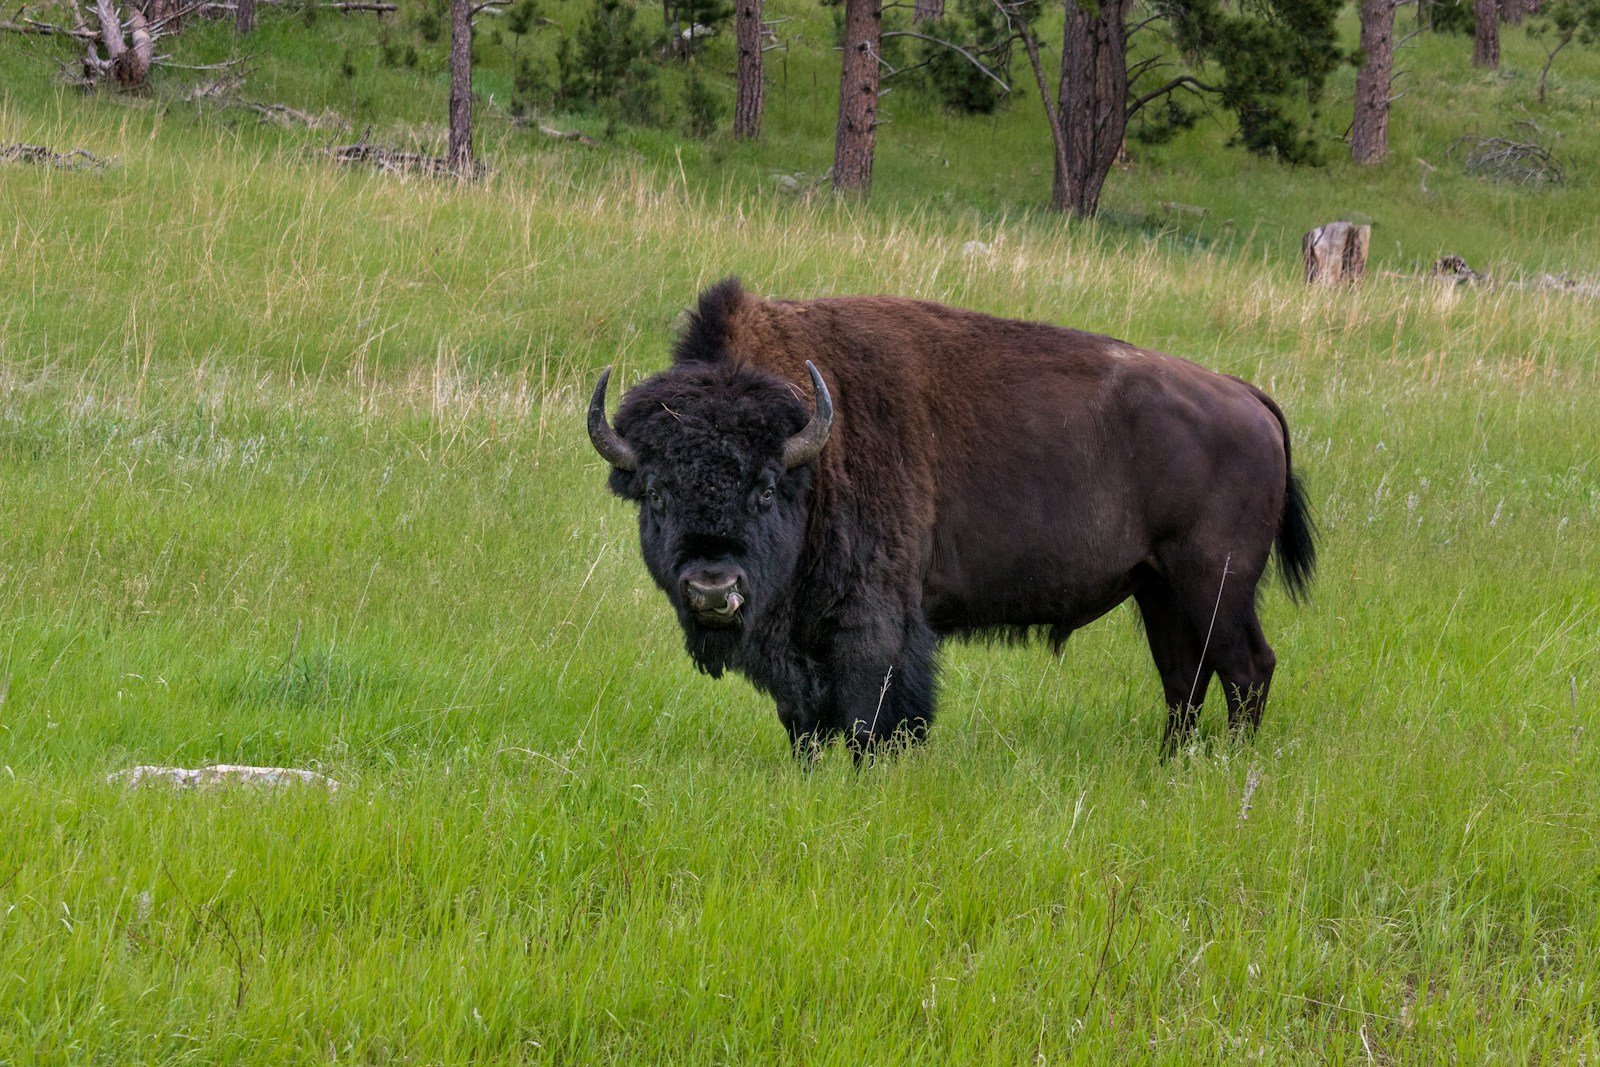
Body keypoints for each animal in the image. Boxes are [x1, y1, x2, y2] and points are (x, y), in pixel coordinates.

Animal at [588, 280, 1315, 757]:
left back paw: (1230, 766)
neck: (814, 451)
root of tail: (1246, 395)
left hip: (1216, 583)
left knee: (1247, 669)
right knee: (1184, 677)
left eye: (765, 488)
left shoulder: (875, 624)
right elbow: (805, 723)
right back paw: (1169, 764)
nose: (712, 589)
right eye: (655, 492)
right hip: (1158, 587)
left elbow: (872, 714)